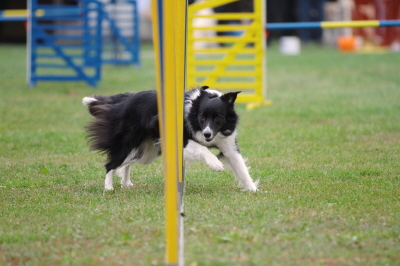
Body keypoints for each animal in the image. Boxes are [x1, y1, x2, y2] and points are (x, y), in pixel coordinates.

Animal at [82, 86, 258, 192]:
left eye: (218, 118)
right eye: (202, 117)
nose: (207, 135)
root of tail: (126, 98)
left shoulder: (228, 144)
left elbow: (240, 166)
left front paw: (253, 189)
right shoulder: (184, 140)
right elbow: (201, 148)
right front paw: (216, 165)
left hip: (148, 151)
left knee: (127, 163)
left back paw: (126, 183)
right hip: (128, 142)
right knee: (111, 164)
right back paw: (108, 187)